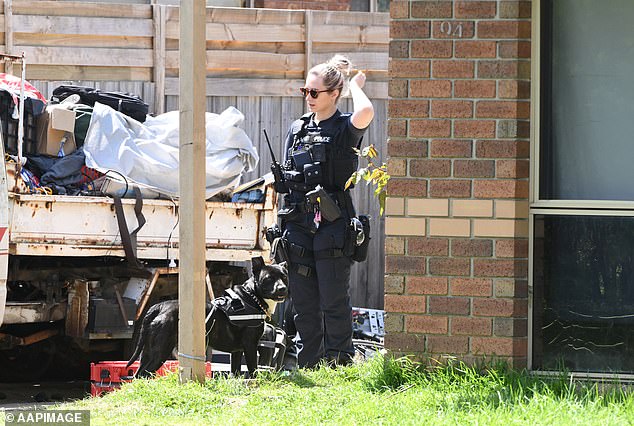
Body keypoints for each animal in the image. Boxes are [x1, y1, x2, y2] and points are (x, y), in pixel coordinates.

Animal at [126, 258, 286, 378]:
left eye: (284, 276)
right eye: (269, 278)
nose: (282, 288)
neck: (252, 296)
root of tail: (159, 306)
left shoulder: (237, 350)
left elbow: (235, 372)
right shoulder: (250, 346)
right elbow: (253, 371)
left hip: (148, 351)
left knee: (138, 375)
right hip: (159, 350)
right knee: (142, 374)